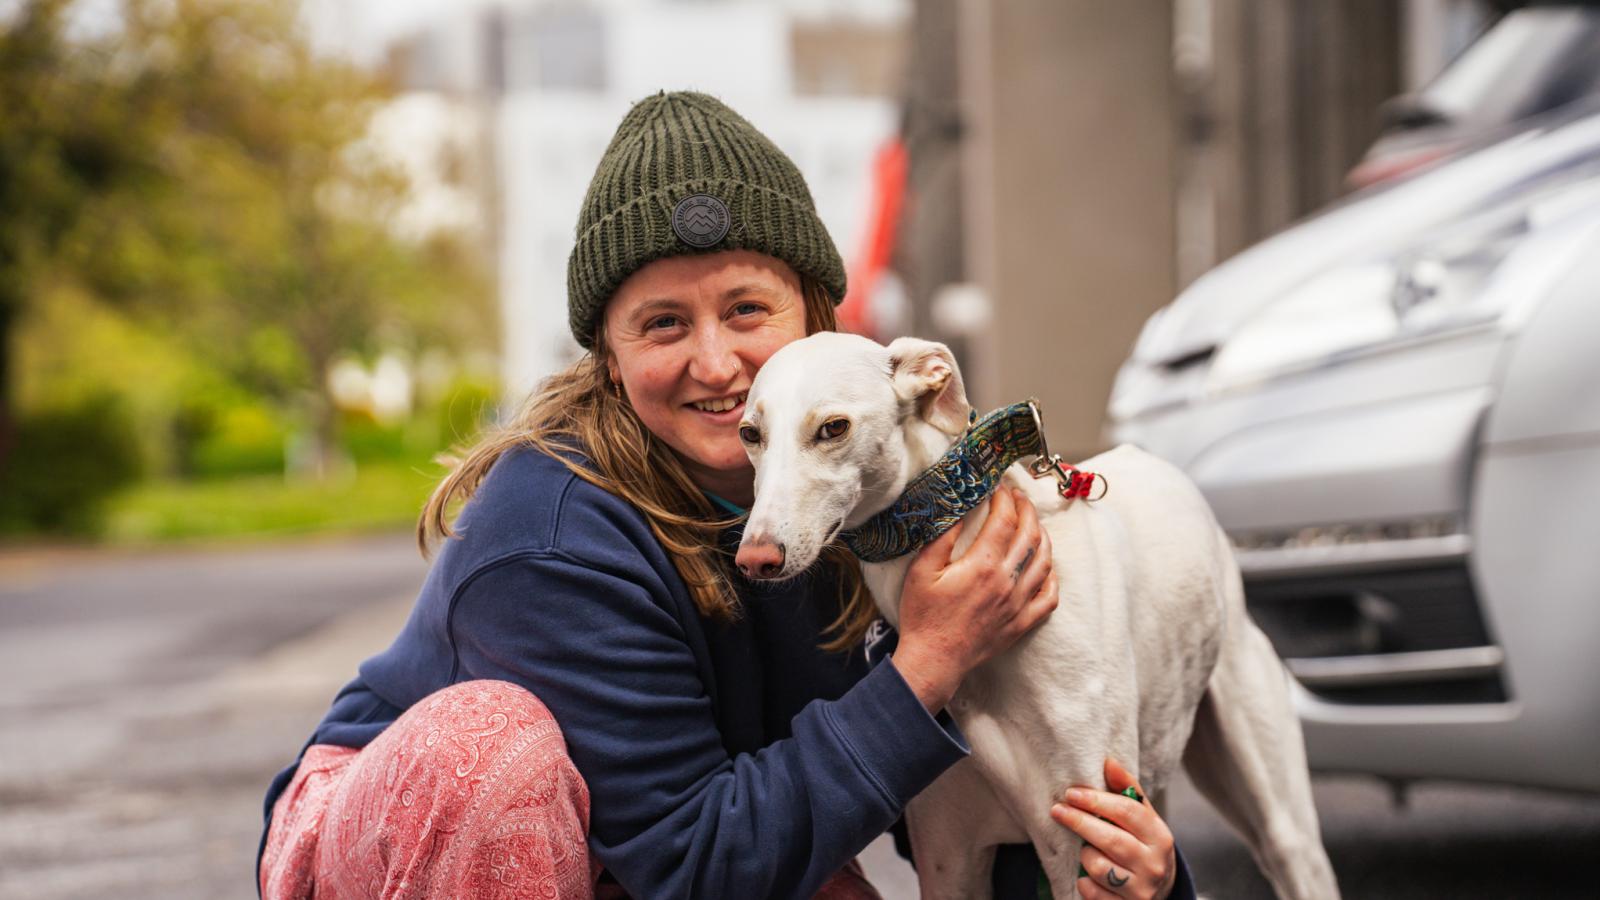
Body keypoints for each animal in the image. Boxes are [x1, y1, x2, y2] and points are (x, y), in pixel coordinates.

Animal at [732, 333, 1331, 890]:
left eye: (833, 427)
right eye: (749, 433)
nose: (755, 559)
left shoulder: (1087, 843)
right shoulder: (949, 858)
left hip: (1276, 815)